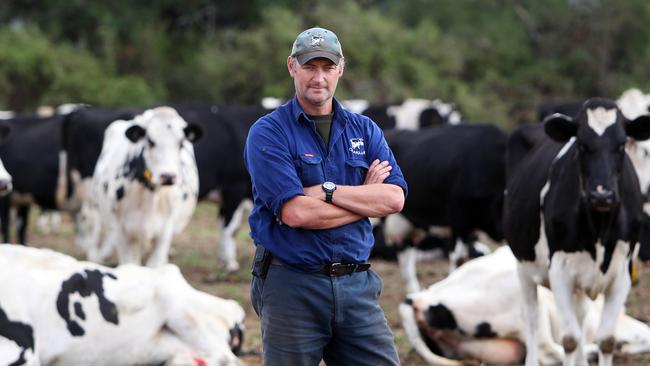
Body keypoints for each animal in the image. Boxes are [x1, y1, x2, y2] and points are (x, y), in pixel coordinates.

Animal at [504, 98, 648, 366]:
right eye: (581, 144)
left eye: (621, 144)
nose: (602, 195)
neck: (599, 228)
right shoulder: (559, 271)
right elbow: (570, 339)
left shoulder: (622, 274)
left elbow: (606, 339)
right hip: (523, 267)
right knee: (532, 318)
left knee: (581, 318)